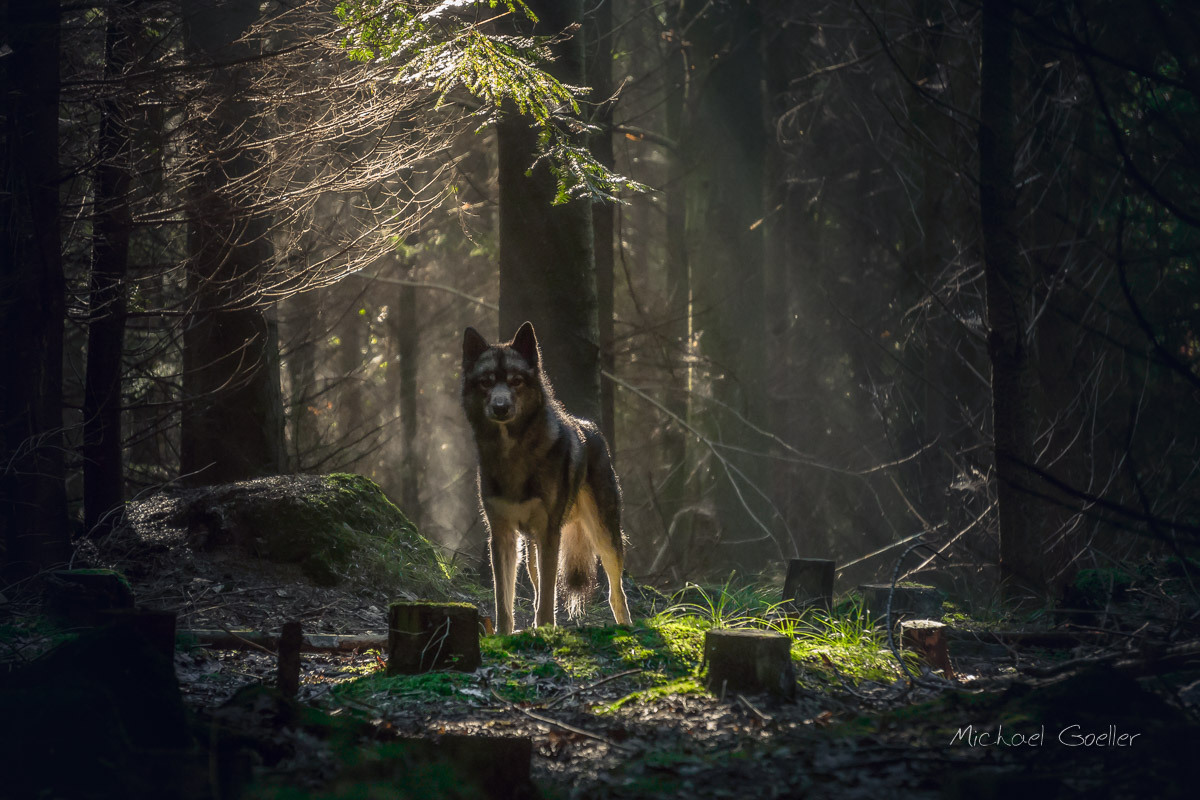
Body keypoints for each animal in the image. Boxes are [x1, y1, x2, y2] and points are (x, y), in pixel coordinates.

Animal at [458, 321, 633, 633]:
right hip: (531, 552)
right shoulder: (502, 535)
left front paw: (545, 630)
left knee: (616, 594)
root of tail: (591, 427)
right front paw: (505, 635)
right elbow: (504, 602)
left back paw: (625, 628)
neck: (512, 453)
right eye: (486, 382)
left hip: (604, 538)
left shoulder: (549, 533)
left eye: (515, 381)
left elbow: (548, 601)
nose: (500, 407)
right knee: (539, 590)